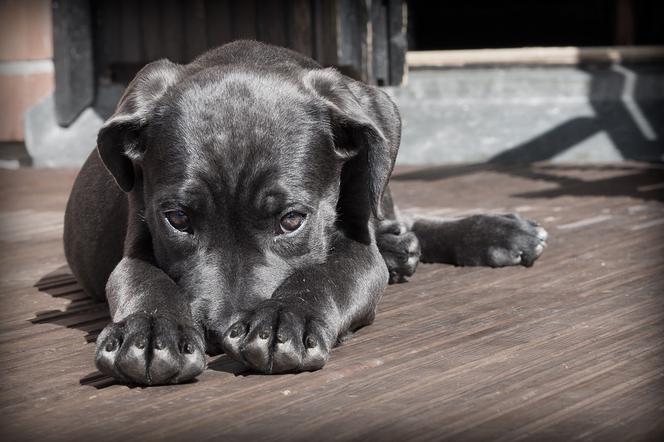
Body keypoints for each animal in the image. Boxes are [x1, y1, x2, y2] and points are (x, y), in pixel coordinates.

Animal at [65, 39, 548, 384]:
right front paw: (149, 331)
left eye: (292, 220)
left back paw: (492, 233)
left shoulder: (358, 248)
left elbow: (327, 273)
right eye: (178, 220)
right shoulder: (137, 240)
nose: (220, 333)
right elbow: (143, 279)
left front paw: (285, 319)